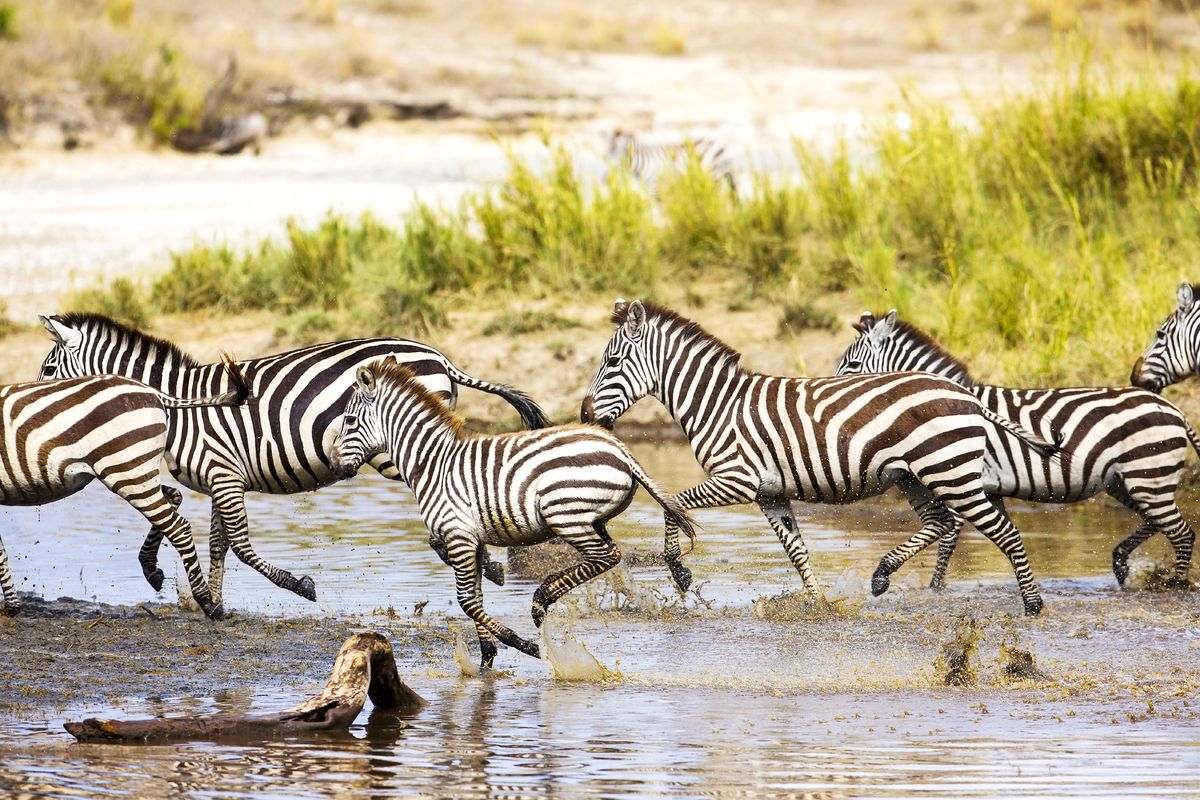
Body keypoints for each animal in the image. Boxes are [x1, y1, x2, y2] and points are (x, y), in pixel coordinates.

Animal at [0, 362, 248, 619]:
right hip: (136, 470)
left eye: (49, 369)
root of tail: (151, 391)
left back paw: (207, 603)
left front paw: (11, 606)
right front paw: (12, 605)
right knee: (173, 498)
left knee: (179, 527)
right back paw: (153, 570)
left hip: (128, 472)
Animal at [37, 313, 552, 607]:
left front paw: (297, 586)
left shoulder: (223, 475)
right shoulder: (220, 478)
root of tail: (439, 356)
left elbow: (237, 545)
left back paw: (488, 566)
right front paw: (208, 598)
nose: (35, 407)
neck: (178, 405)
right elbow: (215, 543)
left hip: (394, 449)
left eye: (48, 369)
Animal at [329, 361, 696, 670]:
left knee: (607, 556)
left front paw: (524, 646)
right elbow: (475, 597)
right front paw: (486, 658)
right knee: (610, 557)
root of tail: (618, 448)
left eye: (349, 421)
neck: (432, 463)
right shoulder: (471, 540)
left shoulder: (458, 536)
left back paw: (542, 598)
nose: (332, 464)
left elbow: (466, 601)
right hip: (592, 519)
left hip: (565, 515)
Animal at [579, 299, 1057, 616]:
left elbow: (673, 505)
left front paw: (679, 571)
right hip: (915, 476)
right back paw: (881, 575)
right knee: (939, 523)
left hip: (950, 472)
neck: (717, 403)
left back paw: (1033, 605)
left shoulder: (737, 479)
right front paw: (817, 602)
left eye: (613, 361)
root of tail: (964, 392)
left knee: (1003, 532)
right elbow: (796, 550)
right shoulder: (769, 492)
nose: (584, 415)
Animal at [837, 310, 1198, 589]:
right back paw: (1123, 563)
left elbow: (949, 539)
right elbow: (989, 535)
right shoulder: (987, 487)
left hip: (1147, 474)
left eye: (852, 364)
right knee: (1158, 522)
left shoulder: (960, 479)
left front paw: (934, 589)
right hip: (1127, 481)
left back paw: (1173, 584)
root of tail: (1175, 410)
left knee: (1181, 533)